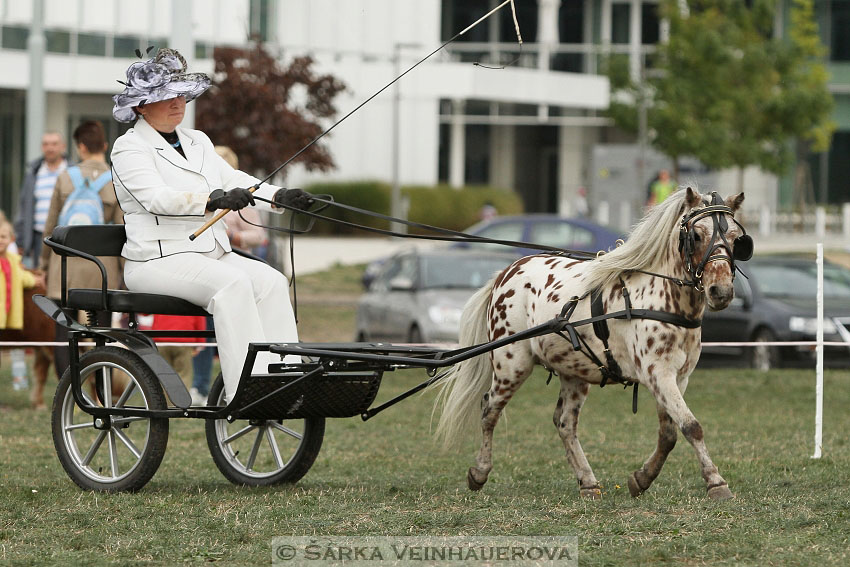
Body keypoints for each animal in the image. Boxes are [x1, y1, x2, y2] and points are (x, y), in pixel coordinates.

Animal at [438, 190, 748, 502]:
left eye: (737, 239)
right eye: (695, 235)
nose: (721, 292)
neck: (662, 297)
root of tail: (506, 272)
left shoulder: (678, 377)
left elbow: (670, 433)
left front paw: (642, 478)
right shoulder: (657, 373)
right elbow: (691, 427)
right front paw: (716, 482)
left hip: (574, 372)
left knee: (564, 423)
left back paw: (587, 481)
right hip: (511, 364)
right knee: (489, 410)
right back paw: (479, 472)